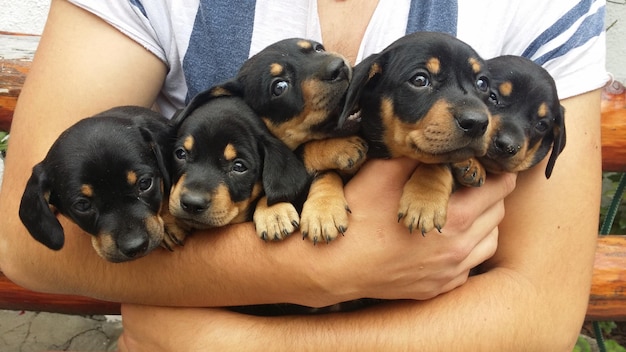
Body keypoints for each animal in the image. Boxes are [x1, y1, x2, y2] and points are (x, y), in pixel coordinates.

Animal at [214, 37, 366, 242]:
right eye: (279, 87)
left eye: (318, 49)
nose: (339, 66)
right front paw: (274, 214)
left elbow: (327, 173)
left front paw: (323, 210)